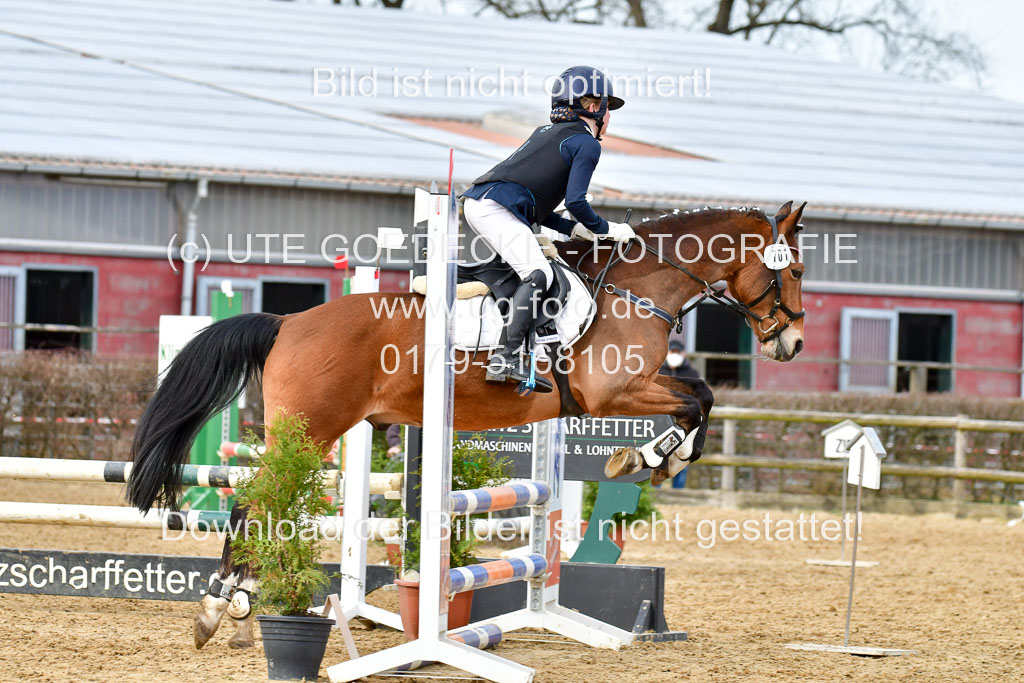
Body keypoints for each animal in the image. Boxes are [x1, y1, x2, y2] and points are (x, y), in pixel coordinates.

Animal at [123, 201, 802, 647]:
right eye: (793, 269)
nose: (791, 343)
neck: (638, 286)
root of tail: (287, 322)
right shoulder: (612, 391)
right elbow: (696, 402)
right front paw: (652, 457)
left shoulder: (627, 391)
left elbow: (701, 394)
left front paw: (650, 457)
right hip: (312, 430)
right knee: (255, 500)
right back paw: (222, 608)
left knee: (259, 500)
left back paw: (234, 603)